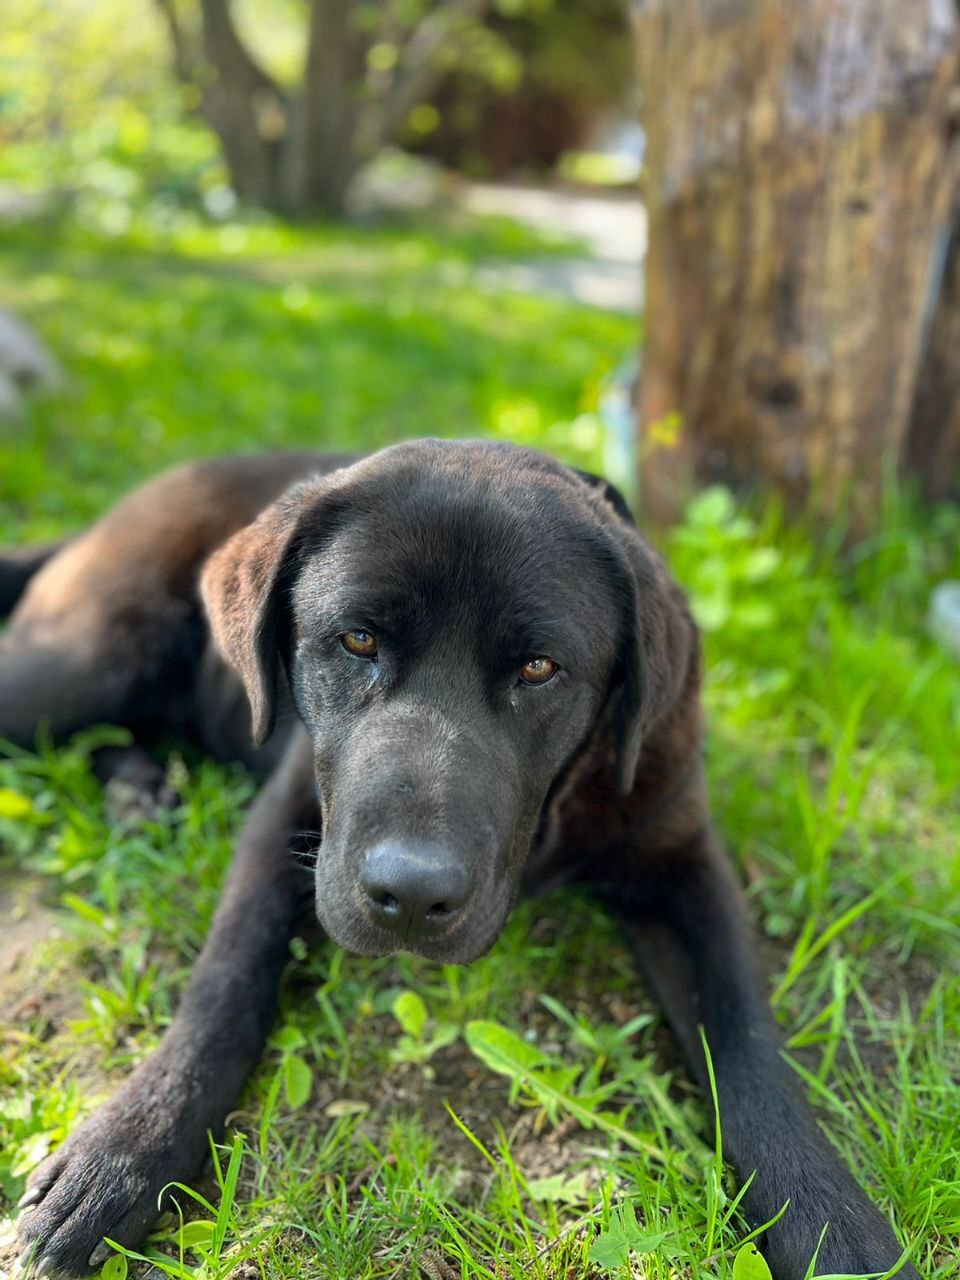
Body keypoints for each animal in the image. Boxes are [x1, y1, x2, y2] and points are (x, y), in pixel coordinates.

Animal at [5, 442, 916, 1280]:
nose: (410, 896)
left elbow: (749, 1047)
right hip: (88, 659)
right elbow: (225, 983)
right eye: (357, 639)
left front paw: (836, 1230)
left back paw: (140, 791)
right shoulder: (290, 822)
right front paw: (123, 1153)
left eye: (539, 668)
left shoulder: (681, 857)